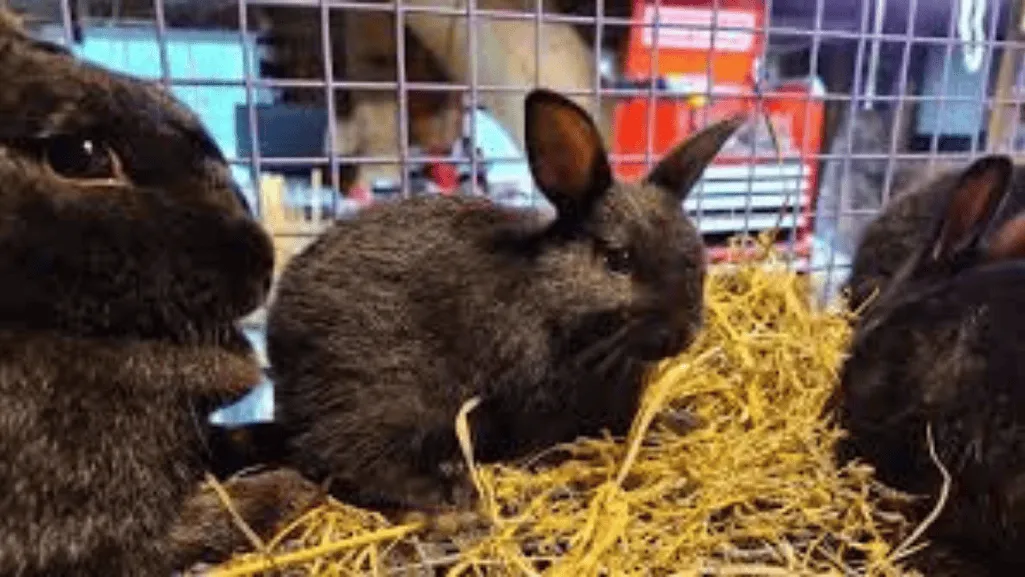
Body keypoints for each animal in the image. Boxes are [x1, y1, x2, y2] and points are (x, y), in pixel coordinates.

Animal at [265, 88, 744, 513]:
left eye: (695, 253)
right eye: (618, 258)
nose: (684, 334)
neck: (555, 304)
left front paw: (686, 420)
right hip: (379, 396)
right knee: (335, 453)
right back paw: (447, 493)